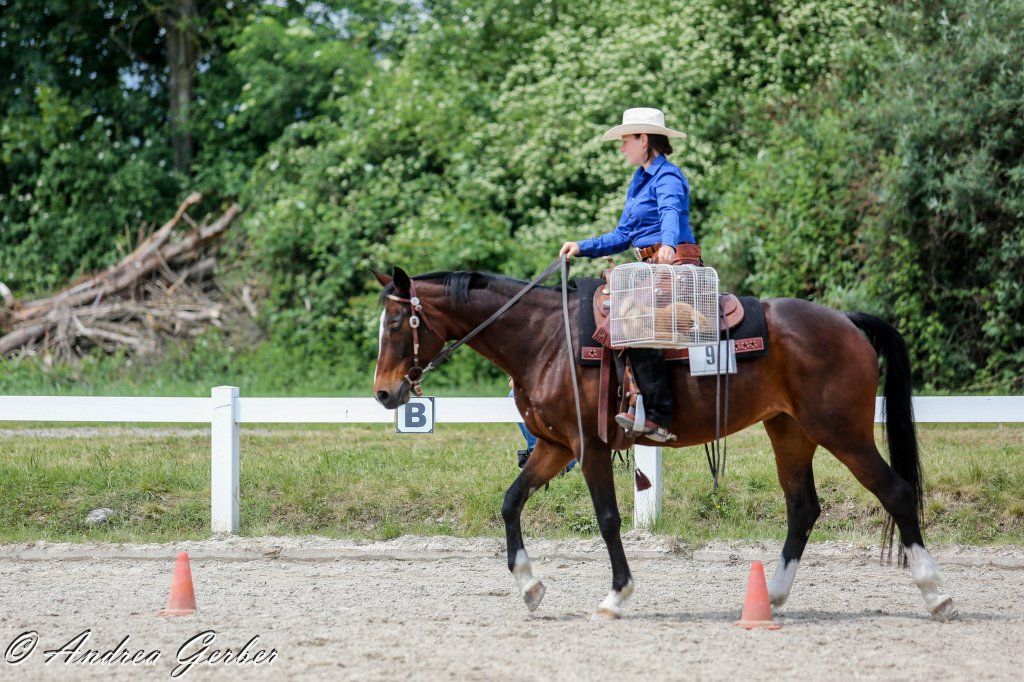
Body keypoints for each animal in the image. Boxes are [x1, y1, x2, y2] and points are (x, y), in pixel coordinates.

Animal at [371, 266, 955, 621]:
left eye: (398, 322)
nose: (383, 393)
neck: (546, 340)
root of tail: (846, 321)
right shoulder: (555, 447)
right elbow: (511, 502)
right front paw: (530, 587)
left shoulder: (590, 448)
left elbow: (608, 518)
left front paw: (616, 595)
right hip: (790, 432)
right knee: (803, 508)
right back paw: (772, 597)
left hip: (843, 432)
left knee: (896, 492)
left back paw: (937, 593)